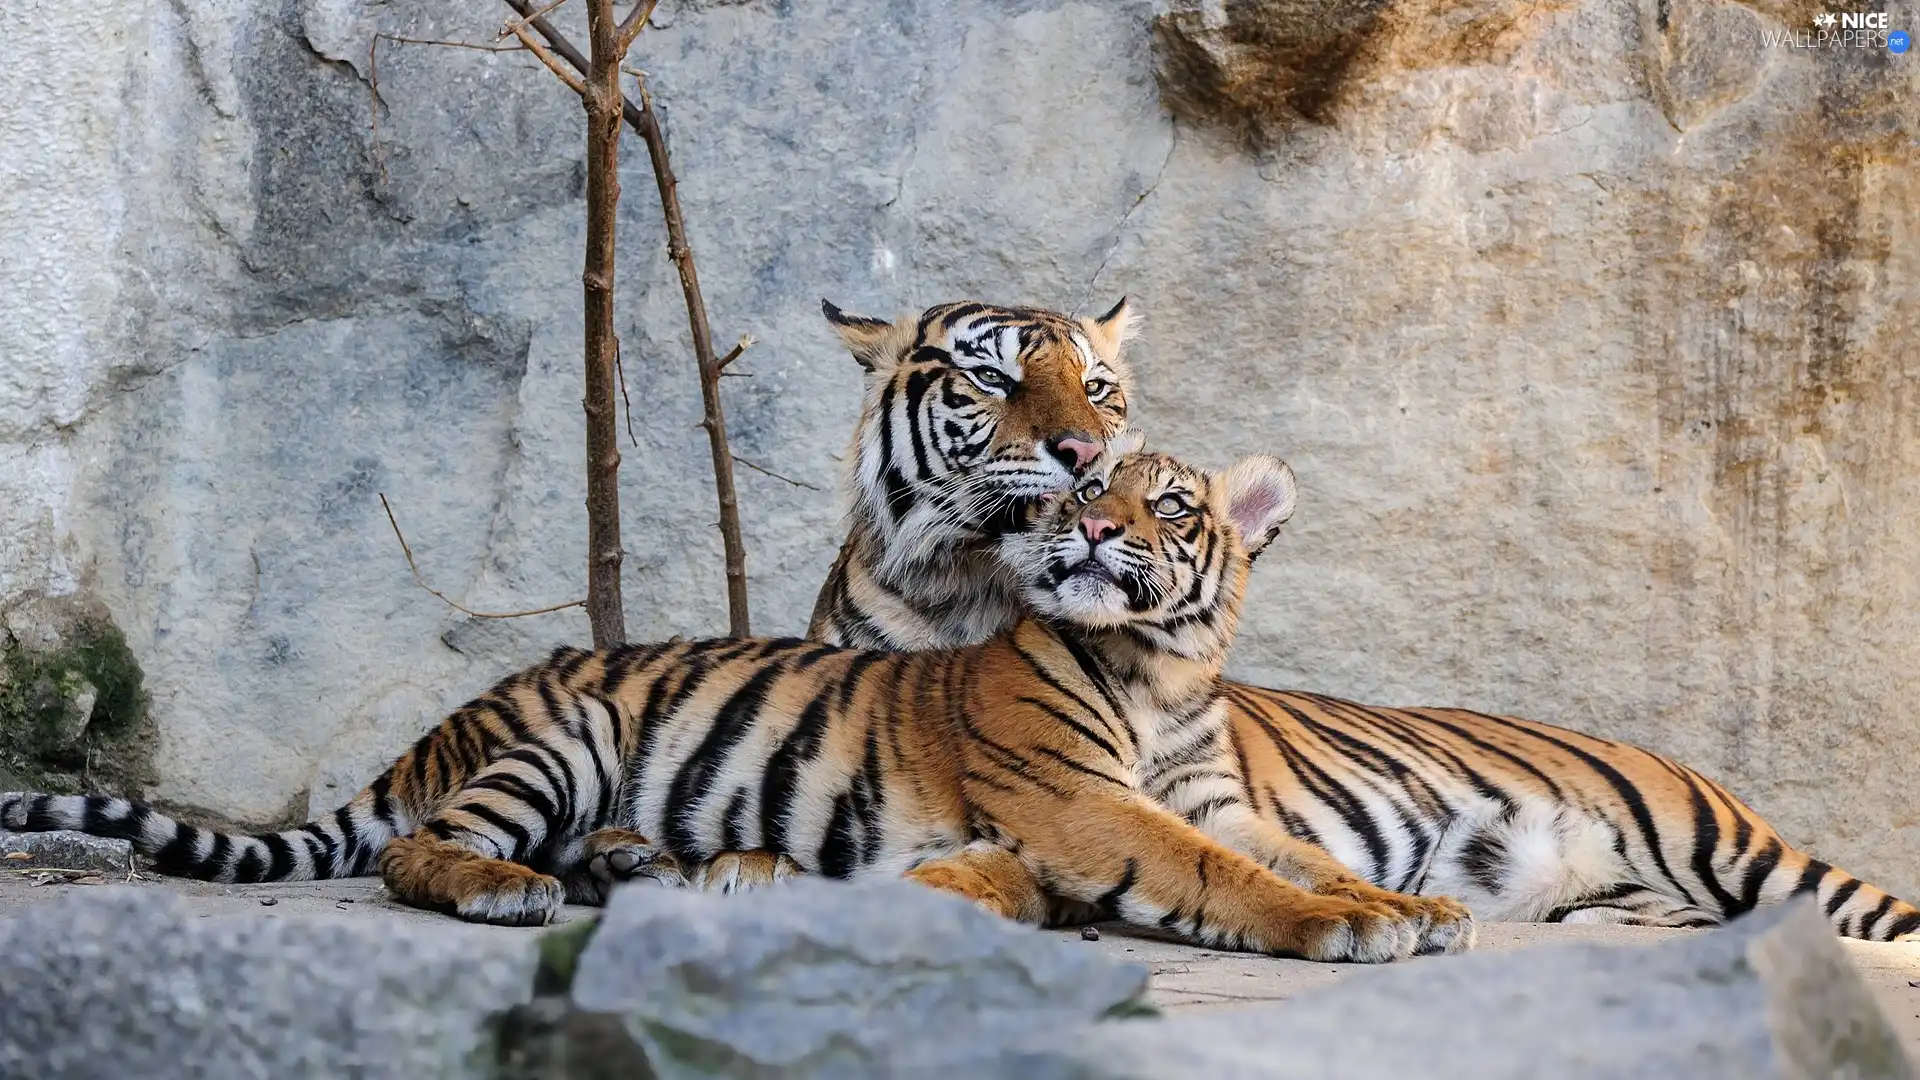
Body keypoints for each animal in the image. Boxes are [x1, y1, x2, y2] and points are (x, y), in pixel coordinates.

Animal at [0, 445, 1474, 957]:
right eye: (1084, 489)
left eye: (1164, 504)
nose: (1096, 530)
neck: (1164, 670)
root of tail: (465, 712)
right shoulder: (1085, 805)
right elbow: (1232, 877)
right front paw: (1352, 927)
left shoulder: (1207, 800)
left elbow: (1292, 851)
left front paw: (1415, 904)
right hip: (557, 742)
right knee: (423, 851)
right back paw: (512, 890)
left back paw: (644, 869)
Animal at [798, 294, 1920, 933]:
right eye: (990, 376)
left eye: (1100, 385)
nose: (1083, 468)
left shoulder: (1206, 805)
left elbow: (1284, 861)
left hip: (1731, 849)